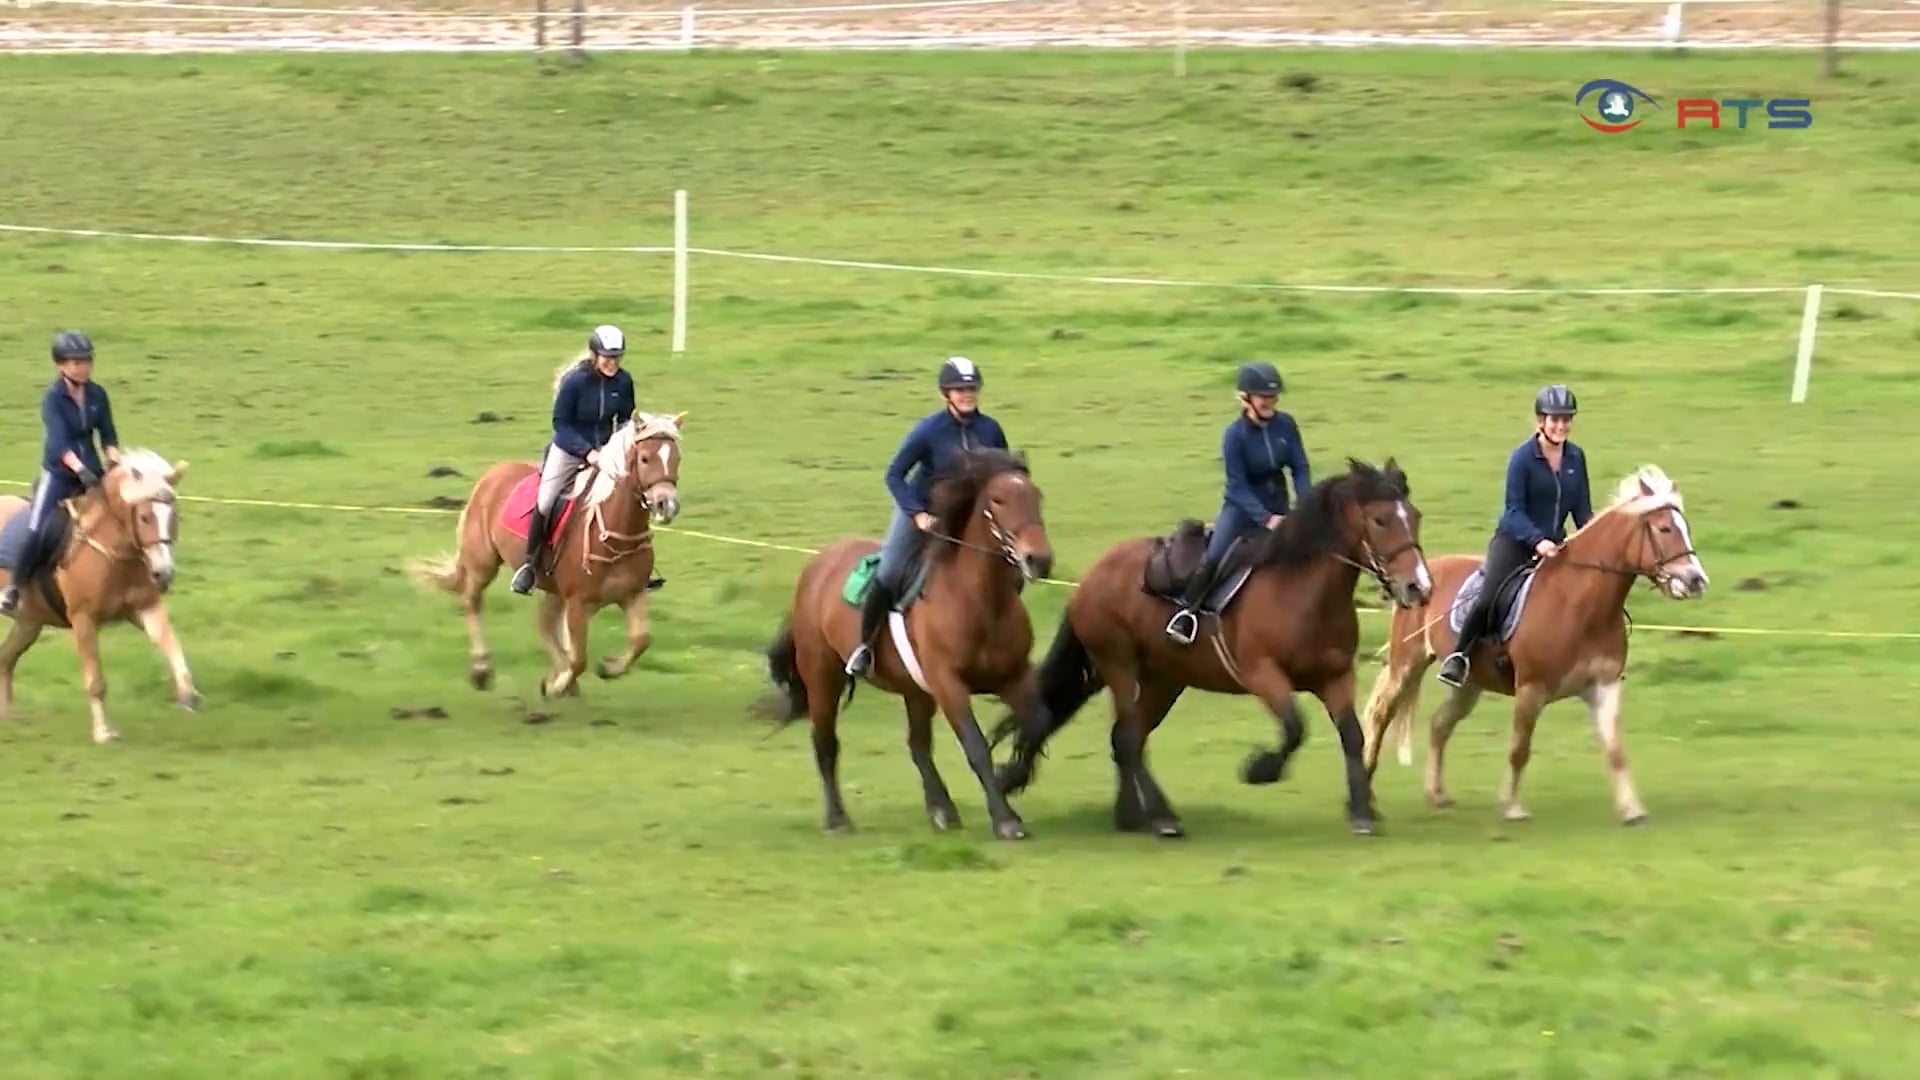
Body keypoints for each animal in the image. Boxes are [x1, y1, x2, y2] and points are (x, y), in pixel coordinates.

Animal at [0, 445, 200, 737]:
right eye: (145, 517)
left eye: (174, 516)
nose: (164, 573)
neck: (113, 552)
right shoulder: (83, 619)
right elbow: (95, 679)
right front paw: (104, 732)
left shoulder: (147, 608)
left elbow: (171, 646)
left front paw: (188, 695)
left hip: (29, 622)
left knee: (5, 659)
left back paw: (7, 716)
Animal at [412, 405, 691, 699]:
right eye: (645, 458)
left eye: (677, 458)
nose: (666, 505)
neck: (615, 534)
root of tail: (492, 475)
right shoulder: (578, 602)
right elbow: (579, 659)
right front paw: (558, 685)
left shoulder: (633, 594)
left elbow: (640, 641)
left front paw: (606, 669)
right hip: (482, 564)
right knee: (472, 602)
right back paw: (482, 670)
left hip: (552, 588)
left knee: (545, 624)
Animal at [752, 445, 1059, 841]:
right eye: (998, 499)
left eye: (1037, 496)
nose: (1039, 560)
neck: (979, 602)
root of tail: (816, 566)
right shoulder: (948, 684)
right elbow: (976, 746)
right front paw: (1006, 819)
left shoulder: (1012, 676)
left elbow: (1037, 723)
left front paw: (1011, 777)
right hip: (823, 676)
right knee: (825, 742)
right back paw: (837, 819)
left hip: (915, 691)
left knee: (918, 745)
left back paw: (942, 809)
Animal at [998, 453, 1436, 834]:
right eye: (1380, 520)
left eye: (1414, 517)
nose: (1419, 587)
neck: (1302, 592)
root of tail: (1092, 577)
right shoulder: (1262, 675)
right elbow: (1295, 727)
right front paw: (1259, 771)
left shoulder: (1335, 676)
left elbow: (1352, 735)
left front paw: (1361, 811)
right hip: (1119, 666)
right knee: (1128, 737)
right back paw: (1161, 818)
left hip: (1162, 679)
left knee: (1127, 738)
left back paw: (1133, 816)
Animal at [1367, 463, 1712, 822]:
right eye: (1664, 528)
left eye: (1684, 528)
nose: (1696, 581)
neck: (1581, 604)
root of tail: (1421, 577)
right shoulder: (1531, 690)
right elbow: (1520, 748)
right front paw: (1512, 807)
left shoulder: (1604, 686)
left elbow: (1615, 750)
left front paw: (1632, 810)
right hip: (1406, 664)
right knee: (1380, 715)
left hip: (1469, 683)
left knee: (1439, 725)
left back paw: (1436, 795)